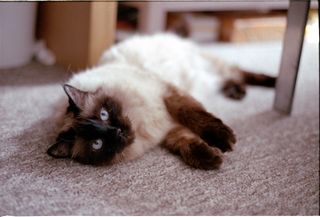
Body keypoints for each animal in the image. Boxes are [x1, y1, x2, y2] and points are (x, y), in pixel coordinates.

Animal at [47, 33, 276, 170]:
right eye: (97, 144)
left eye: (104, 114)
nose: (117, 132)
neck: (140, 125)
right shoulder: (168, 129)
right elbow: (185, 142)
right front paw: (210, 159)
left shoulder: (169, 95)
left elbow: (196, 117)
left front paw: (224, 141)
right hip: (211, 78)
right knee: (230, 79)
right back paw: (236, 92)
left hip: (212, 67)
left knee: (240, 72)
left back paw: (268, 83)